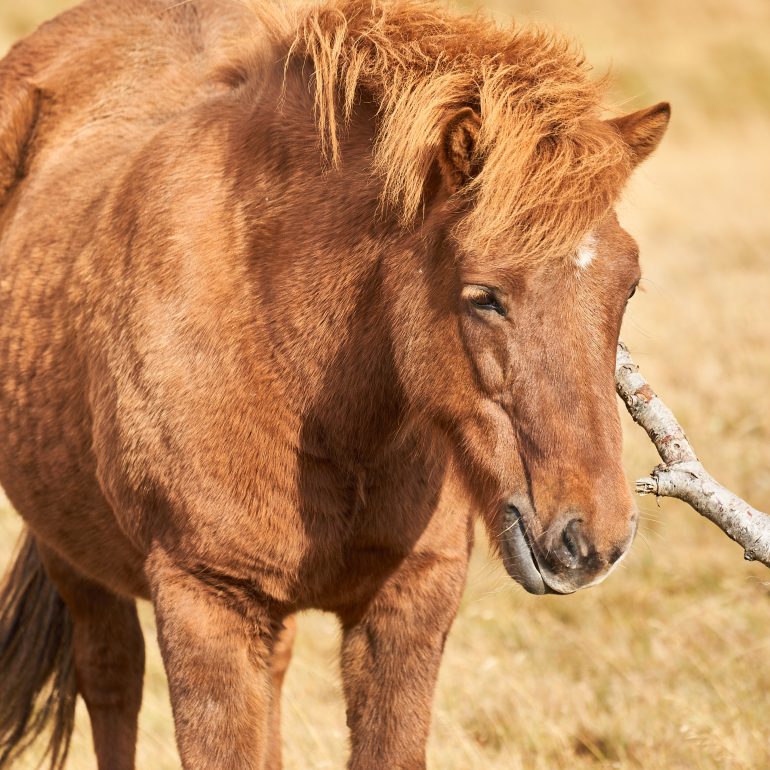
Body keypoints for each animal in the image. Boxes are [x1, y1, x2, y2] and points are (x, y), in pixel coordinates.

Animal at [0, 0, 669, 767]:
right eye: (484, 296)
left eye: (628, 286)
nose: (594, 542)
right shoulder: (205, 605)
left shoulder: (410, 602)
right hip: (72, 555)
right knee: (110, 676)